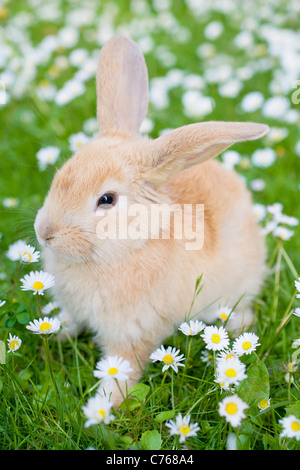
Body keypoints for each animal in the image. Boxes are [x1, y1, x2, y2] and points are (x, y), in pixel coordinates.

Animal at [34, 35, 270, 406]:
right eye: (60, 176)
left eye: (107, 199)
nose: (45, 233)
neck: (126, 248)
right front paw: (55, 335)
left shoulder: (133, 333)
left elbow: (123, 368)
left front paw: (105, 405)